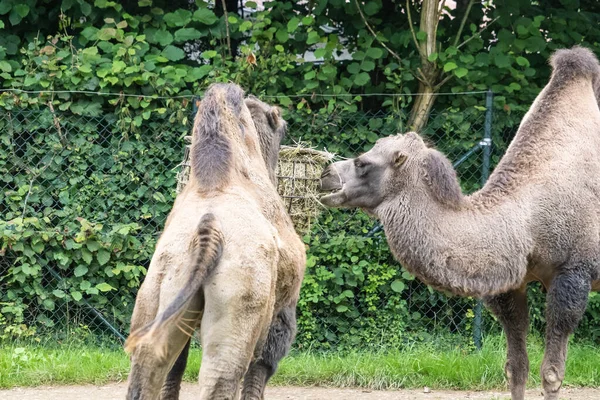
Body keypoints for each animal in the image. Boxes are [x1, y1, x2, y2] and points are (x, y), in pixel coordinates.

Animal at [125, 83, 304, 398]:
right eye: (283, 127)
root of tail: (208, 233)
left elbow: (177, 365)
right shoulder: (283, 308)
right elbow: (262, 366)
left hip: (156, 289)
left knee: (147, 364)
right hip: (238, 301)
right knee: (221, 376)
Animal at [322, 47, 600, 400]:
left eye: (362, 163)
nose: (325, 174)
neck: (526, 219)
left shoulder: (574, 274)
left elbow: (551, 373)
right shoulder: (510, 284)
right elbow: (516, 369)